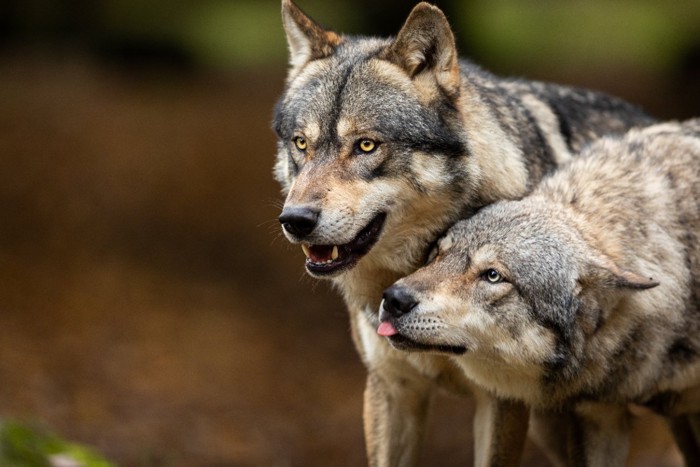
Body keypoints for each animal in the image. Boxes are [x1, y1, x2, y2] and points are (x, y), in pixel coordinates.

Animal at [272, 1, 656, 466]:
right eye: (301, 144)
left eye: (366, 145)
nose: (295, 219)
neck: (413, 270)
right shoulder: (393, 391)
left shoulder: (502, 402)